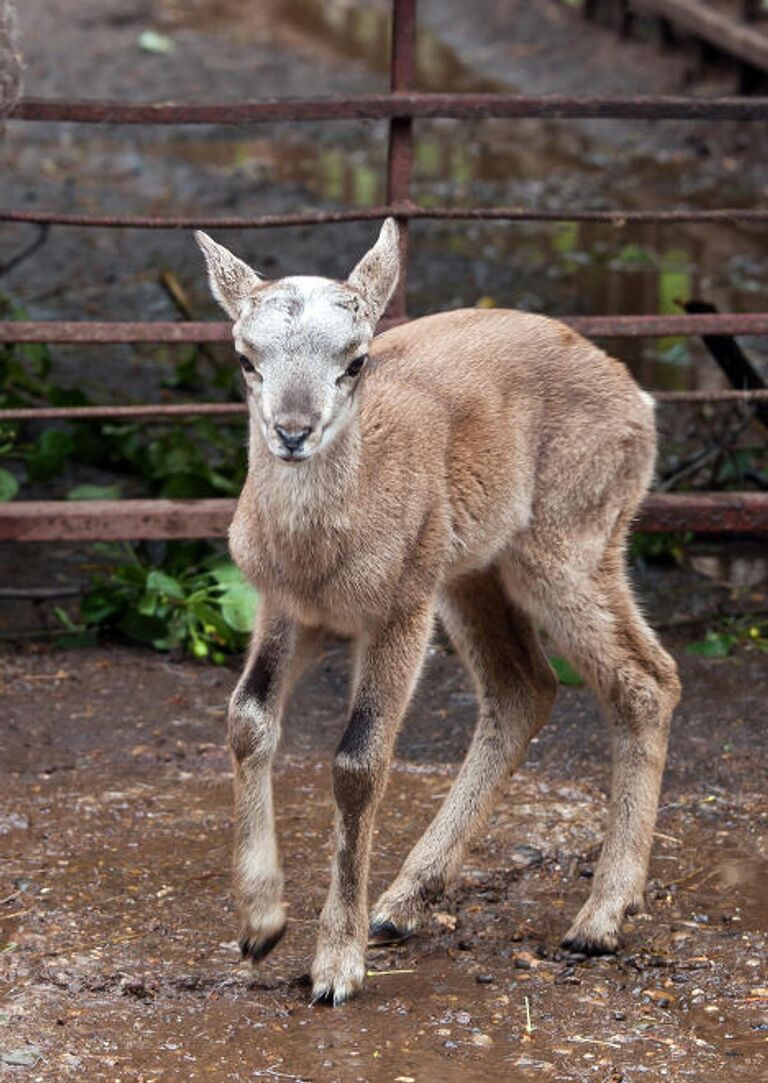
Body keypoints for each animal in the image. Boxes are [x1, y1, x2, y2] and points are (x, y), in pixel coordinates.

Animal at [194, 217, 680, 1005]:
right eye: (245, 356)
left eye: (356, 359)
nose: (293, 431)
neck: (323, 558)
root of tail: (639, 399)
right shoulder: (286, 606)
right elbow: (248, 720)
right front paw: (261, 925)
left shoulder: (401, 607)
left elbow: (359, 759)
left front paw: (336, 967)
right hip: (475, 570)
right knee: (523, 687)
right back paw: (401, 904)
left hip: (569, 542)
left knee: (646, 679)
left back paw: (599, 919)